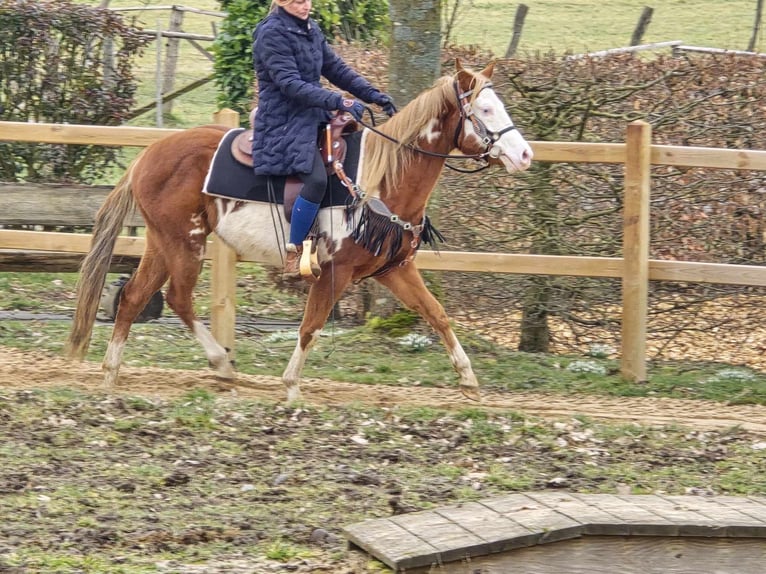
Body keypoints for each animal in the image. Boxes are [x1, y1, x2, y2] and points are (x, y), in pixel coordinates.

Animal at [66, 60, 536, 404]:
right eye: (485, 110)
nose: (525, 155)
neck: (379, 180)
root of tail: (147, 155)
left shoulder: (394, 269)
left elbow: (437, 314)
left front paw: (468, 380)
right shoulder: (335, 272)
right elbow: (311, 325)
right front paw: (291, 386)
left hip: (163, 244)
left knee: (134, 297)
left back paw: (111, 373)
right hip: (184, 243)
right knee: (177, 298)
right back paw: (220, 364)